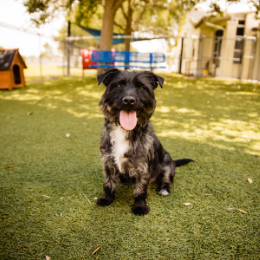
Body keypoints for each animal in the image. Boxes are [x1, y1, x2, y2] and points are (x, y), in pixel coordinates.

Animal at [96, 68, 193, 215]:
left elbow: (140, 189)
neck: (124, 130)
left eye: (142, 87)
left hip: (167, 164)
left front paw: (140, 206)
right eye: (118, 85)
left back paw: (164, 189)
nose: (129, 100)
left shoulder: (142, 167)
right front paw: (107, 198)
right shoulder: (108, 162)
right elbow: (109, 182)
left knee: (166, 180)